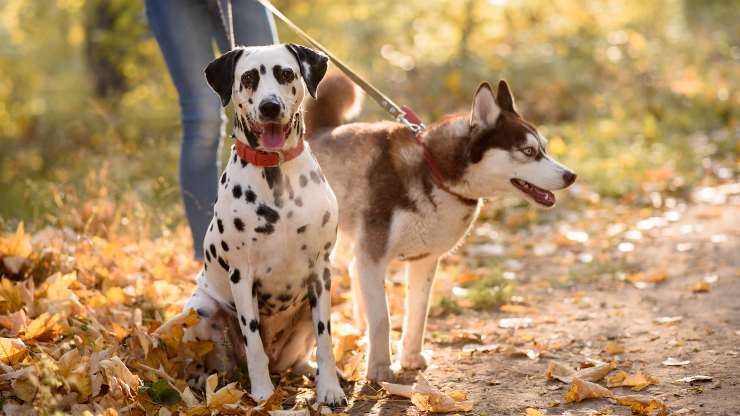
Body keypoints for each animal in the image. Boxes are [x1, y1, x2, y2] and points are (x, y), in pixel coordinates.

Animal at [184, 44, 348, 406]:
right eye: (248, 77)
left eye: (286, 73)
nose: (269, 106)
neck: (275, 174)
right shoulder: (242, 276)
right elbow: (254, 343)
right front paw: (262, 393)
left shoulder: (321, 272)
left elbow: (326, 340)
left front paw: (330, 388)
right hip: (201, 310)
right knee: (222, 363)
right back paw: (206, 383)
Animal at [304, 74, 576, 380]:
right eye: (528, 151)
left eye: (544, 148)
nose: (571, 176)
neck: (436, 173)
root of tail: (321, 130)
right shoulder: (374, 257)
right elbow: (382, 318)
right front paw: (380, 369)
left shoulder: (424, 259)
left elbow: (418, 314)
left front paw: (410, 358)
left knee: (353, 270)